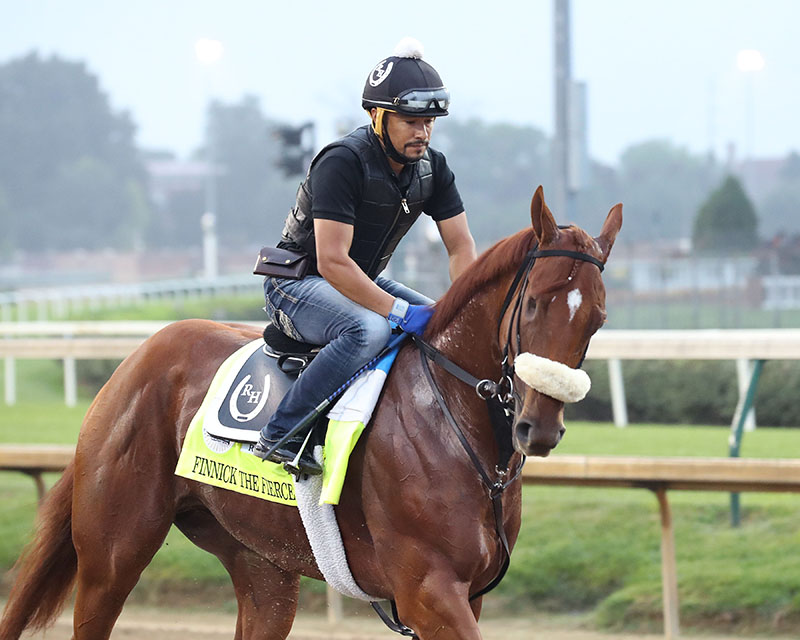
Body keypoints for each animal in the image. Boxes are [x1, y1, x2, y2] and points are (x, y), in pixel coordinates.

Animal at [0, 186, 620, 640]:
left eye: (598, 318)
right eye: (533, 302)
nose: (538, 427)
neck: (455, 424)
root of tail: (132, 362)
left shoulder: (468, 593)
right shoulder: (429, 590)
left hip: (261, 565)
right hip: (112, 553)